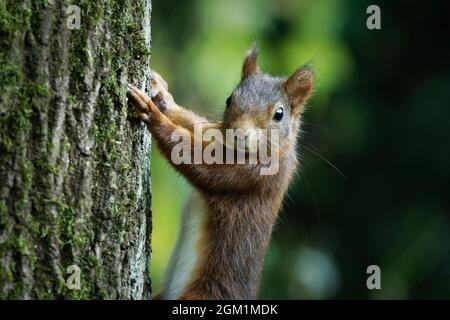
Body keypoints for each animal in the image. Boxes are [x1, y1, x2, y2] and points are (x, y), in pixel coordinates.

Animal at [126, 47, 312, 300]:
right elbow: (198, 125)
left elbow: (197, 163)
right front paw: (162, 97)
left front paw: (152, 113)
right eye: (229, 99)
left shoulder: (253, 176)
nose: (240, 132)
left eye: (279, 114)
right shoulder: (216, 135)